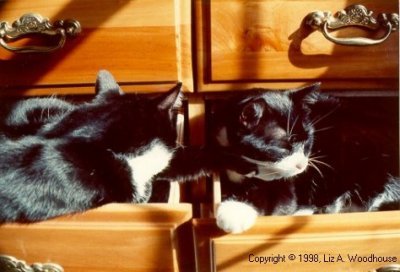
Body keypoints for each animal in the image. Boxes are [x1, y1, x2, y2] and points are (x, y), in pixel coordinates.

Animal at [209, 84, 400, 233]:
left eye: (307, 140)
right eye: (285, 146)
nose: (302, 165)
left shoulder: (287, 186)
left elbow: (278, 201)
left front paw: (234, 211)